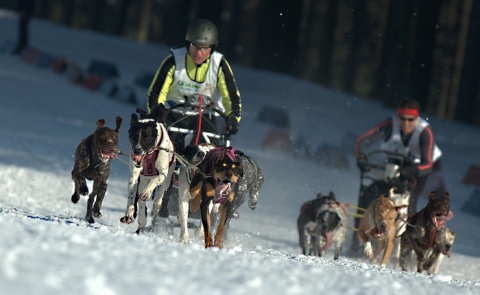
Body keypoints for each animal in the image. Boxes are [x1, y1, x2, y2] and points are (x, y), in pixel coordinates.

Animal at [119, 106, 175, 234]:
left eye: (146, 137)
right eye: (134, 136)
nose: (137, 151)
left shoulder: (162, 173)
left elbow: (155, 181)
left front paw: (147, 193)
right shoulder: (135, 175)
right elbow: (132, 194)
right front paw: (129, 214)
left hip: (167, 179)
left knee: (160, 193)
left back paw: (155, 205)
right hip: (143, 180)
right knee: (141, 201)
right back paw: (141, 219)